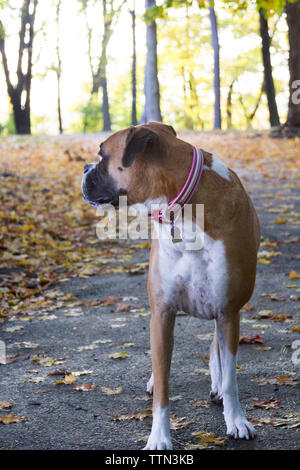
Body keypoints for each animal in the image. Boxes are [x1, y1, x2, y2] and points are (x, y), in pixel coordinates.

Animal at [82, 121, 260, 448]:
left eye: (102, 155)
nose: (86, 168)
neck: (184, 209)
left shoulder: (228, 311)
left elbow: (231, 376)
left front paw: (237, 420)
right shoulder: (162, 314)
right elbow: (163, 384)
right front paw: (159, 437)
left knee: (216, 347)